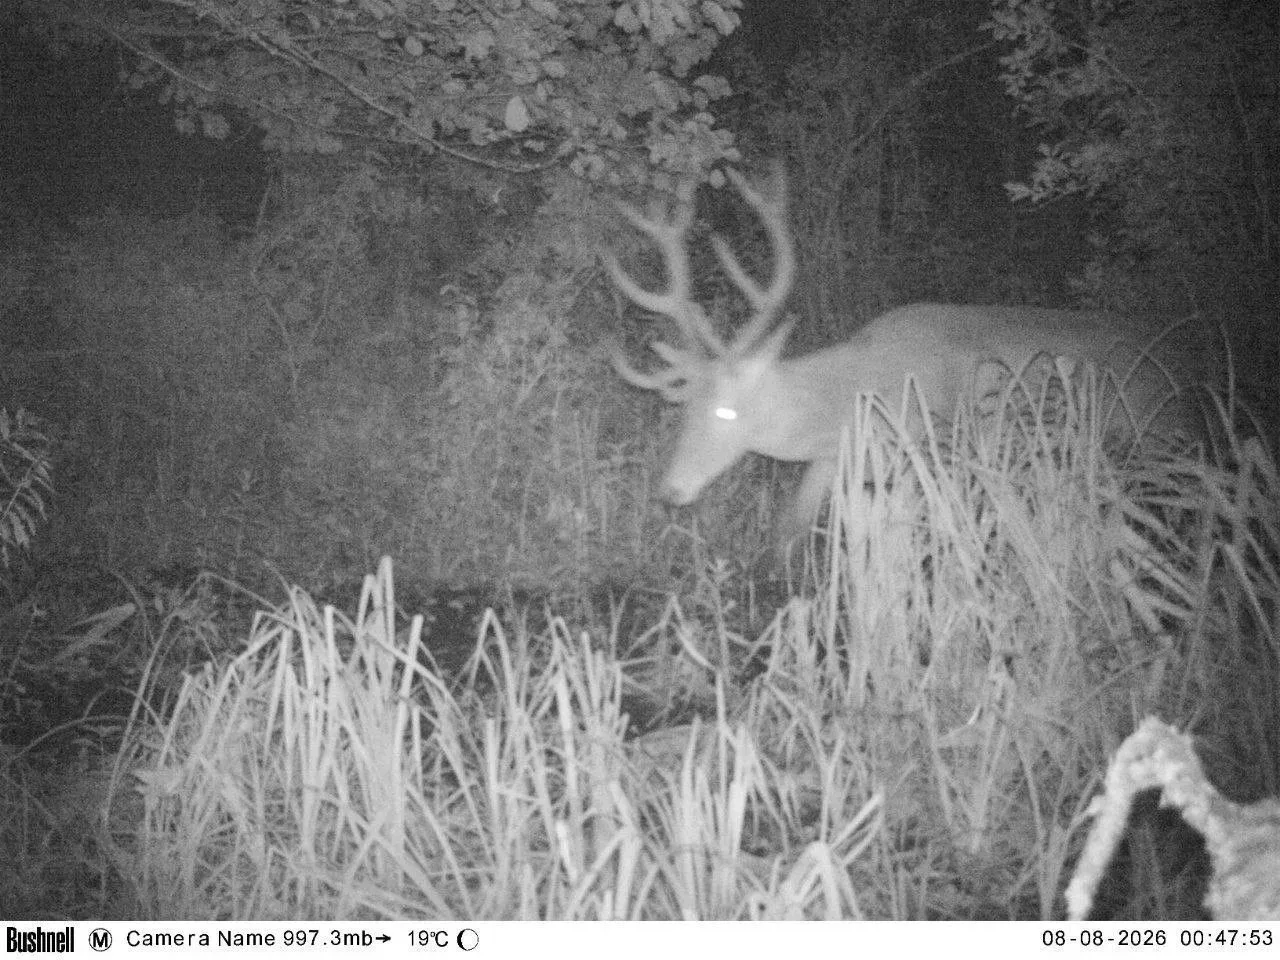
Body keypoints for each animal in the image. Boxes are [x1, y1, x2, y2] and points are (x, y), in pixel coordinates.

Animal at [603, 168, 1210, 554]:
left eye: (727, 412)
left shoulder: (930, 453)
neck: (852, 398)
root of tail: (1183, 352)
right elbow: (787, 536)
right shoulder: (833, 463)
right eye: (682, 410)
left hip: (1157, 435)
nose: (670, 490)